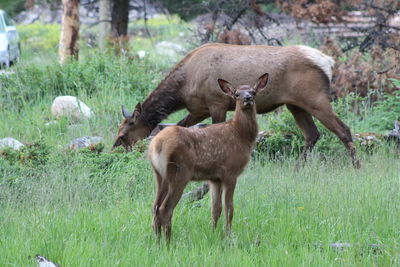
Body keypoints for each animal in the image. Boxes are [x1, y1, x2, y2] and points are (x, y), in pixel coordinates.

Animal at [112, 43, 360, 169]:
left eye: (123, 135)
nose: (116, 152)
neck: (183, 88)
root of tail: (328, 62)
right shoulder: (198, 109)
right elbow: (179, 127)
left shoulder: (217, 102)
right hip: (295, 104)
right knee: (312, 134)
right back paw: (298, 168)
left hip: (316, 99)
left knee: (344, 130)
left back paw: (357, 167)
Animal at [148, 73, 268, 241]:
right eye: (236, 94)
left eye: (254, 92)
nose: (248, 98)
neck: (241, 135)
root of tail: (156, 145)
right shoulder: (230, 171)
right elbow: (229, 207)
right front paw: (228, 235)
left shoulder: (214, 178)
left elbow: (215, 209)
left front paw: (212, 233)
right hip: (180, 172)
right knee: (165, 208)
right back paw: (168, 242)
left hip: (159, 175)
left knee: (155, 206)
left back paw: (157, 240)